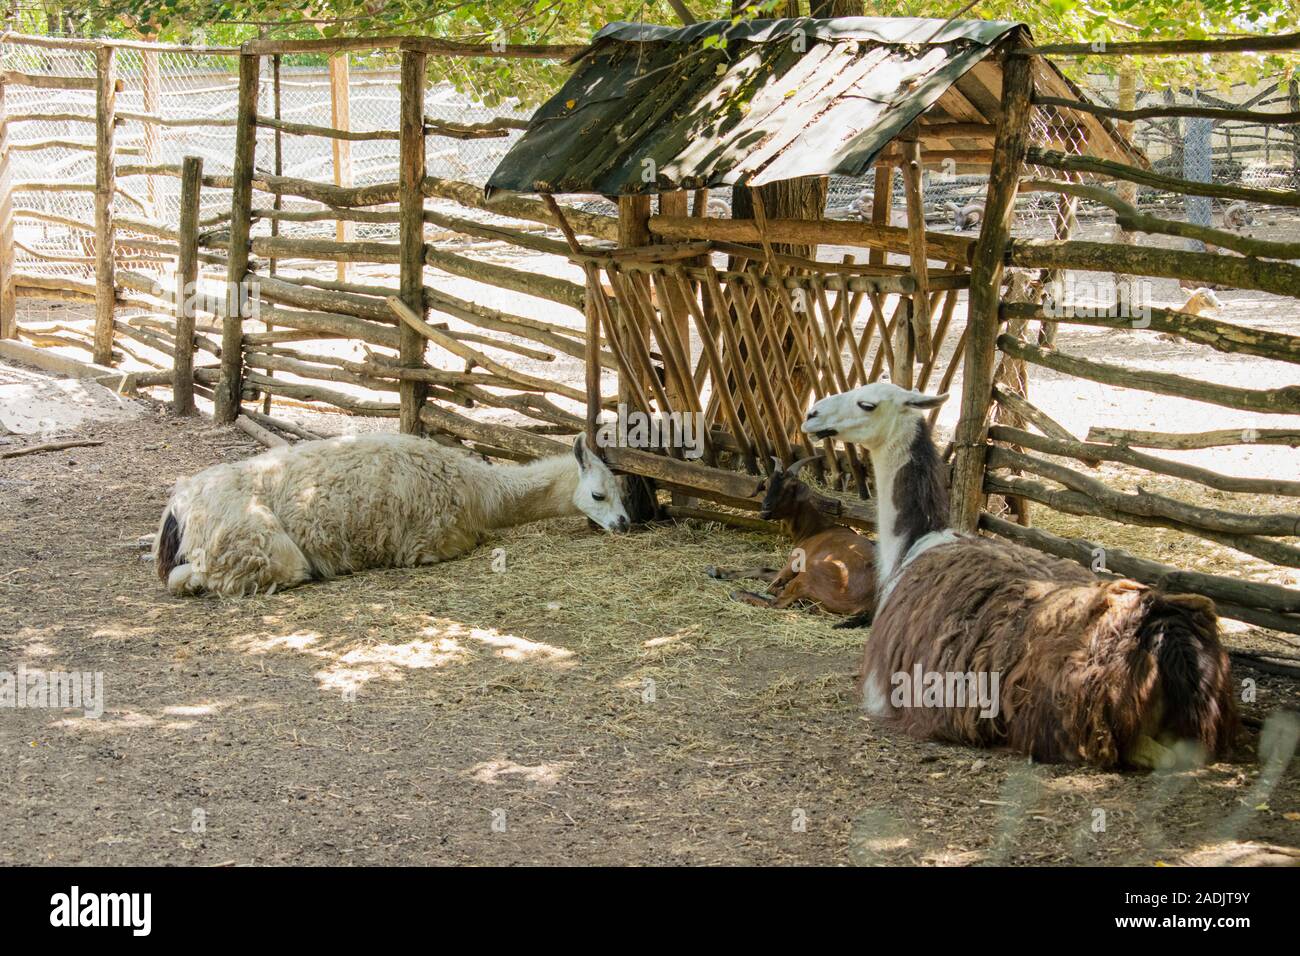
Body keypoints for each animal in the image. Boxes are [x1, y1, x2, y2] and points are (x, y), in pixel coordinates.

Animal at [707, 460, 878, 624]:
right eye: (766, 485)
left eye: (789, 489)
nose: (765, 509)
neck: (815, 529)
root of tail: (870, 603)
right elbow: (764, 570)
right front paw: (719, 571)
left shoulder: (793, 564)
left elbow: (771, 579)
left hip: (809, 573)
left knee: (776, 602)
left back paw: (740, 593)